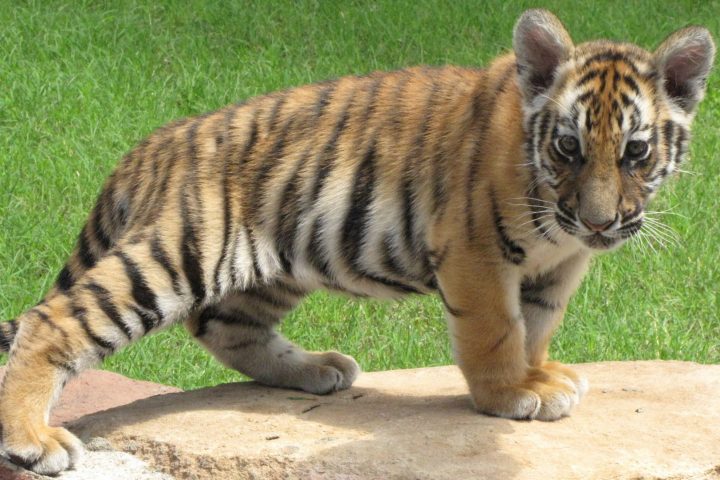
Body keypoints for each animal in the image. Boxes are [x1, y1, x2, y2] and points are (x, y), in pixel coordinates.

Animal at [0, 9, 714, 475]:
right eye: (567, 147)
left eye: (636, 152)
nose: (598, 223)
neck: (557, 221)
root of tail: (150, 144)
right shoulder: (476, 253)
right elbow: (497, 331)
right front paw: (509, 394)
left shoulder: (557, 268)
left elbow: (536, 325)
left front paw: (538, 375)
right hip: (179, 250)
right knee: (52, 320)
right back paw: (34, 438)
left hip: (270, 265)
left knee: (225, 328)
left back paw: (317, 369)